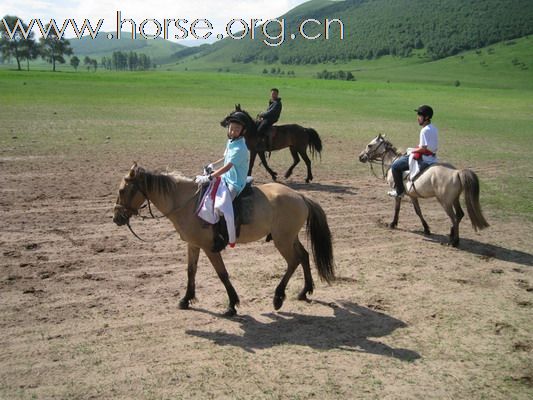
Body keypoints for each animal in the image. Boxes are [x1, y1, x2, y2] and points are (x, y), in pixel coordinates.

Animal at [113, 163, 335, 316]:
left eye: (122, 190)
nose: (116, 218)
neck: (187, 203)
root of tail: (300, 196)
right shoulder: (193, 245)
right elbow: (191, 271)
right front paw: (186, 299)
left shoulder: (209, 248)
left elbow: (222, 274)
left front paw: (232, 305)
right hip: (290, 238)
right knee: (304, 256)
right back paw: (304, 291)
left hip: (283, 241)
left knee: (293, 261)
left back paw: (278, 297)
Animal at [358, 134, 489, 246]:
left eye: (369, 145)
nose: (361, 156)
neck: (392, 162)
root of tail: (456, 172)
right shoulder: (412, 195)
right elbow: (418, 211)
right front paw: (426, 229)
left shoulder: (398, 193)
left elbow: (397, 208)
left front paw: (392, 223)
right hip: (454, 199)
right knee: (459, 215)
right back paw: (451, 234)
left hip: (445, 202)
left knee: (454, 218)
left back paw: (454, 242)